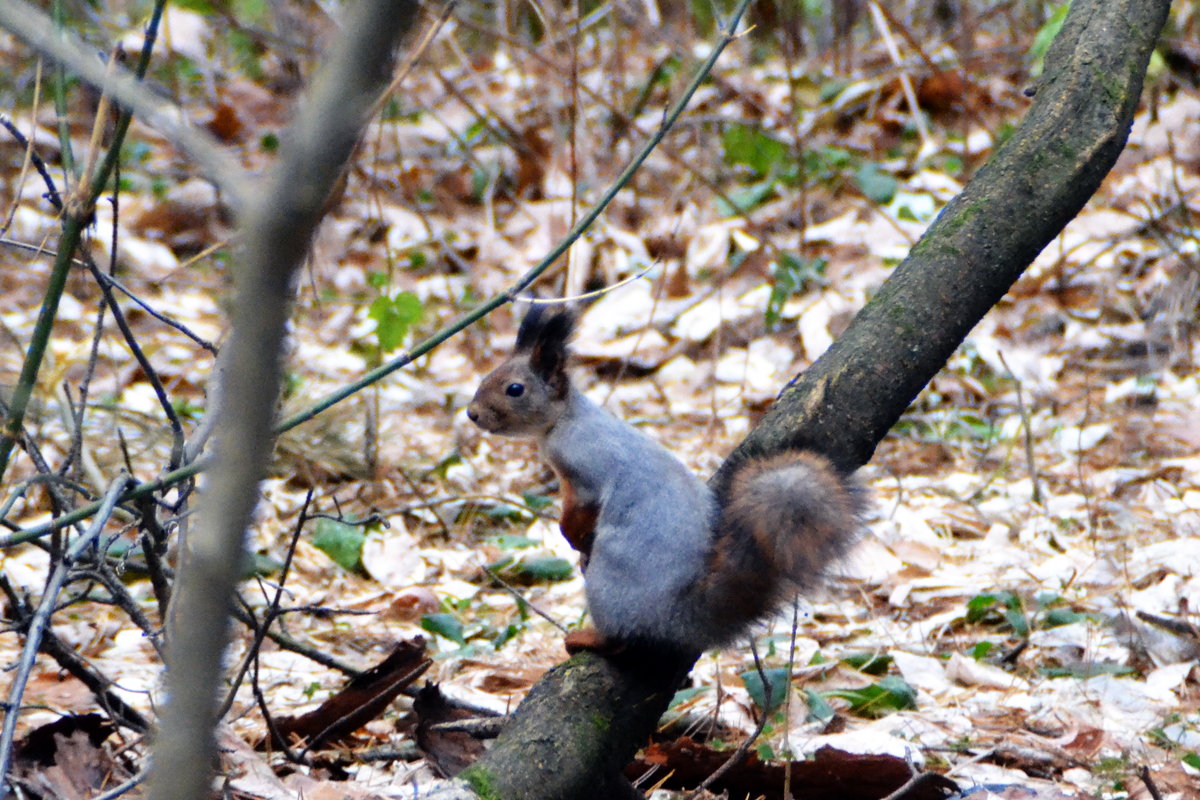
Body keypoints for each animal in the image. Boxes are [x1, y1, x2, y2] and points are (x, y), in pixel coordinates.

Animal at [468, 307, 864, 657]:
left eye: (515, 389)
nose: (472, 414)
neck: (564, 420)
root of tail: (669, 615)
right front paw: (578, 548)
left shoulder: (585, 471)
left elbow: (579, 511)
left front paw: (573, 537)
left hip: (609, 580)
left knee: (619, 638)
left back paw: (588, 638)